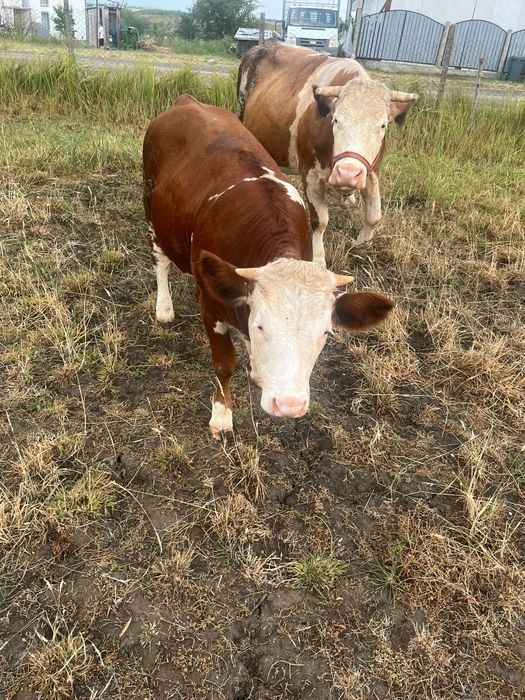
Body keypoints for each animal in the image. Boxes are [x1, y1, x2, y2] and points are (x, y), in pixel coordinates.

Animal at [143, 95, 394, 438]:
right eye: (261, 325)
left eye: (325, 333)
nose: (289, 405)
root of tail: (187, 101)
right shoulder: (210, 305)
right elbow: (224, 364)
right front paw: (221, 415)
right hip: (151, 206)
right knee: (161, 260)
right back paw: (164, 307)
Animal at [237, 42, 419, 266]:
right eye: (336, 120)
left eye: (383, 125)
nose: (348, 174)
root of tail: (262, 45)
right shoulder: (310, 174)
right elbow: (319, 222)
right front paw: (318, 259)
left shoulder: (371, 172)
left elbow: (374, 216)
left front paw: (360, 246)